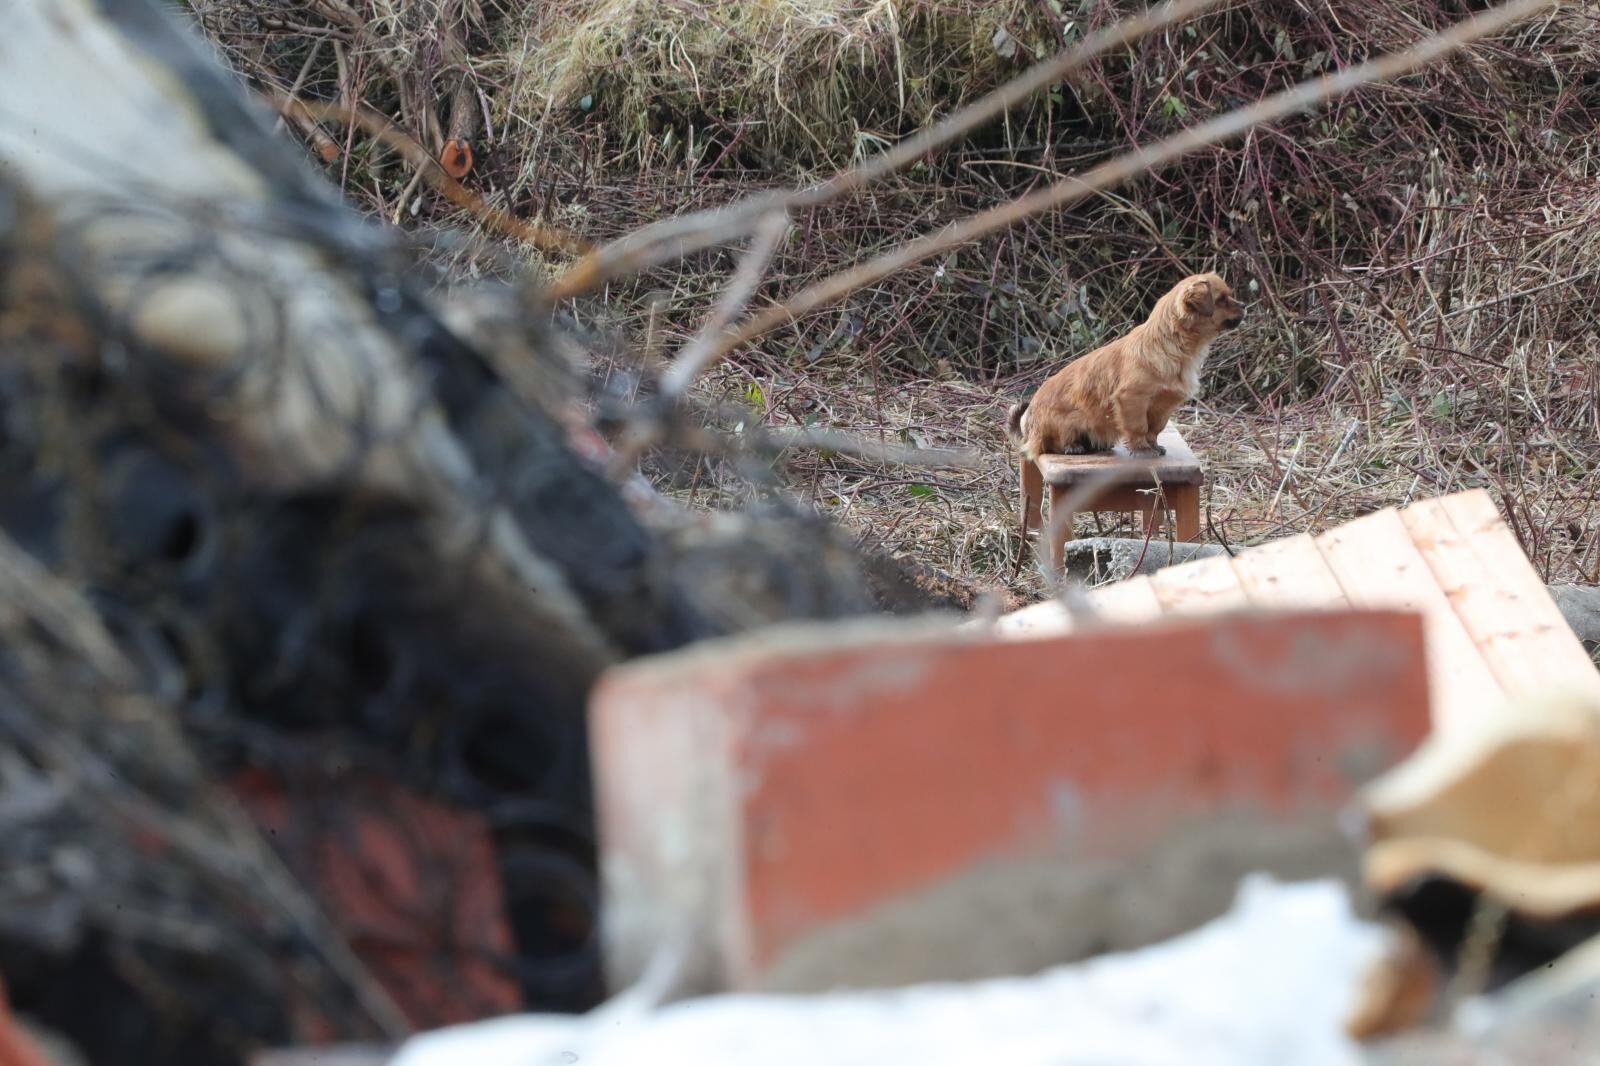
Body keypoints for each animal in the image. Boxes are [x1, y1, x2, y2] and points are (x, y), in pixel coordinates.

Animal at [1004, 273, 1241, 573]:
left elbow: (1154, 428)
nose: (1244, 308)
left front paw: (1154, 446)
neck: (1175, 346)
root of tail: (1028, 428)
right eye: (1221, 300)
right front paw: (1141, 450)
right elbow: (1138, 428)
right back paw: (1073, 447)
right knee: (1050, 445)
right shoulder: (1132, 399)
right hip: (1065, 422)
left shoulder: (1161, 408)